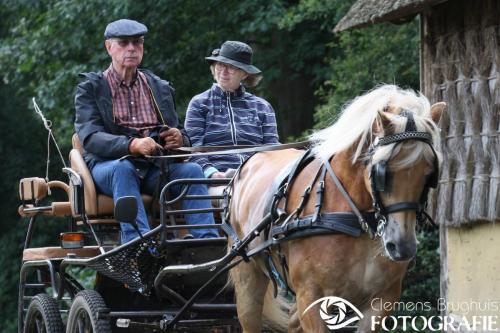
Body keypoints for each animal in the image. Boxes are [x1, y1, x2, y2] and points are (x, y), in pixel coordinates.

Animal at [228, 85, 446, 332]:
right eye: (383, 172)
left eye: (430, 174)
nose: (402, 247)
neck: (356, 221)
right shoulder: (310, 298)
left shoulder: (382, 300)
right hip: (248, 278)